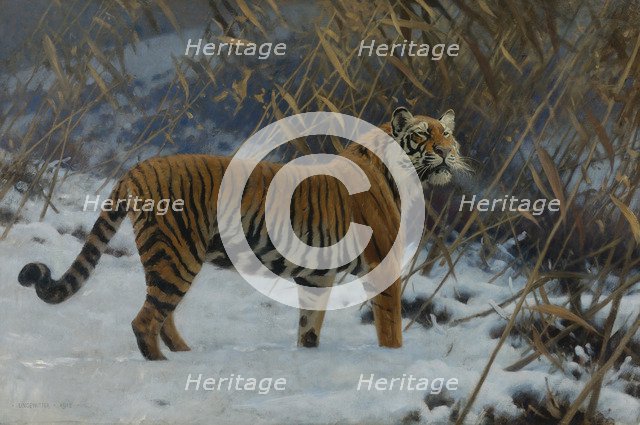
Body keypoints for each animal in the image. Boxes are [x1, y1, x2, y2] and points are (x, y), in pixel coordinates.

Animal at [18, 107, 469, 360]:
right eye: (424, 134)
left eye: (448, 133)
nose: (447, 152)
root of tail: (138, 167)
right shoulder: (384, 268)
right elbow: (390, 329)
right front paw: (393, 362)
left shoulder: (316, 279)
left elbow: (309, 328)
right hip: (177, 256)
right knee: (145, 320)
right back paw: (164, 366)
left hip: (169, 257)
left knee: (161, 315)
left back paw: (186, 356)